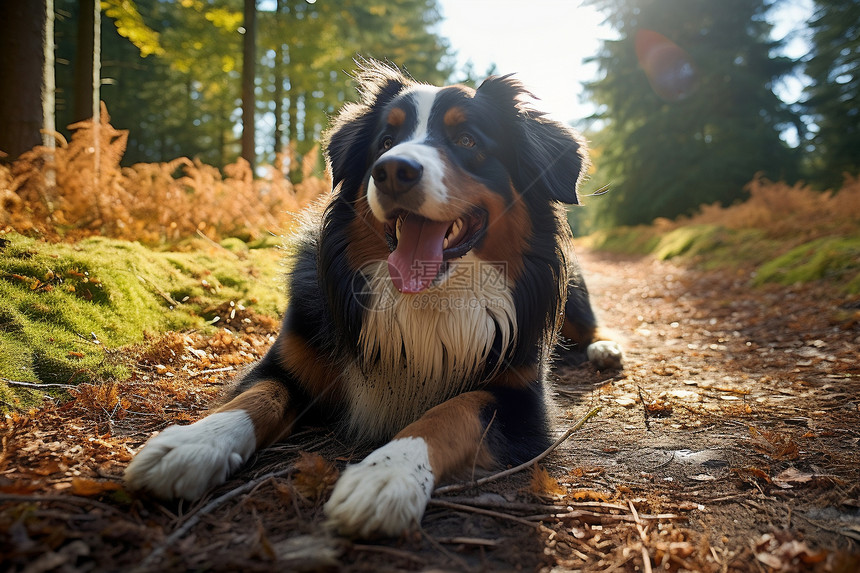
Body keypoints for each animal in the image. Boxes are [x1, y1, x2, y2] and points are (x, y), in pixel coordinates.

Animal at [124, 61, 620, 536]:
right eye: (385, 141)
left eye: (467, 140)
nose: (393, 170)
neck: (427, 299)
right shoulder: (290, 360)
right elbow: (256, 397)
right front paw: (191, 444)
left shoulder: (520, 399)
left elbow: (449, 412)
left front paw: (386, 474)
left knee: (591, 324)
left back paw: (606, 347)